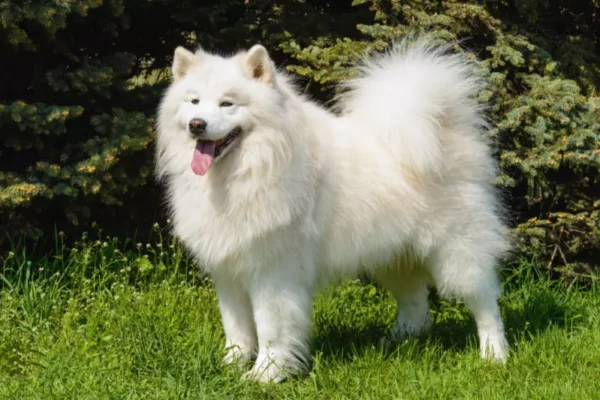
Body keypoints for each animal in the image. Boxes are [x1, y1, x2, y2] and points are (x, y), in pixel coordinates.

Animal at [156, 38, 510, 384]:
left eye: (227, 104)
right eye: (194, 101)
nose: (197, 125)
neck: (250, 168)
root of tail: (445, 127)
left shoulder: (273, 274)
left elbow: (271, 329)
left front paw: (265, 374)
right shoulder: (229, 272)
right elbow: (237, 329)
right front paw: (230, 367)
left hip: (456, 253)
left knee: (485, 302)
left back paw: (495, 355)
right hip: (393, 255)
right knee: (415, 303)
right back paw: (399, 340)